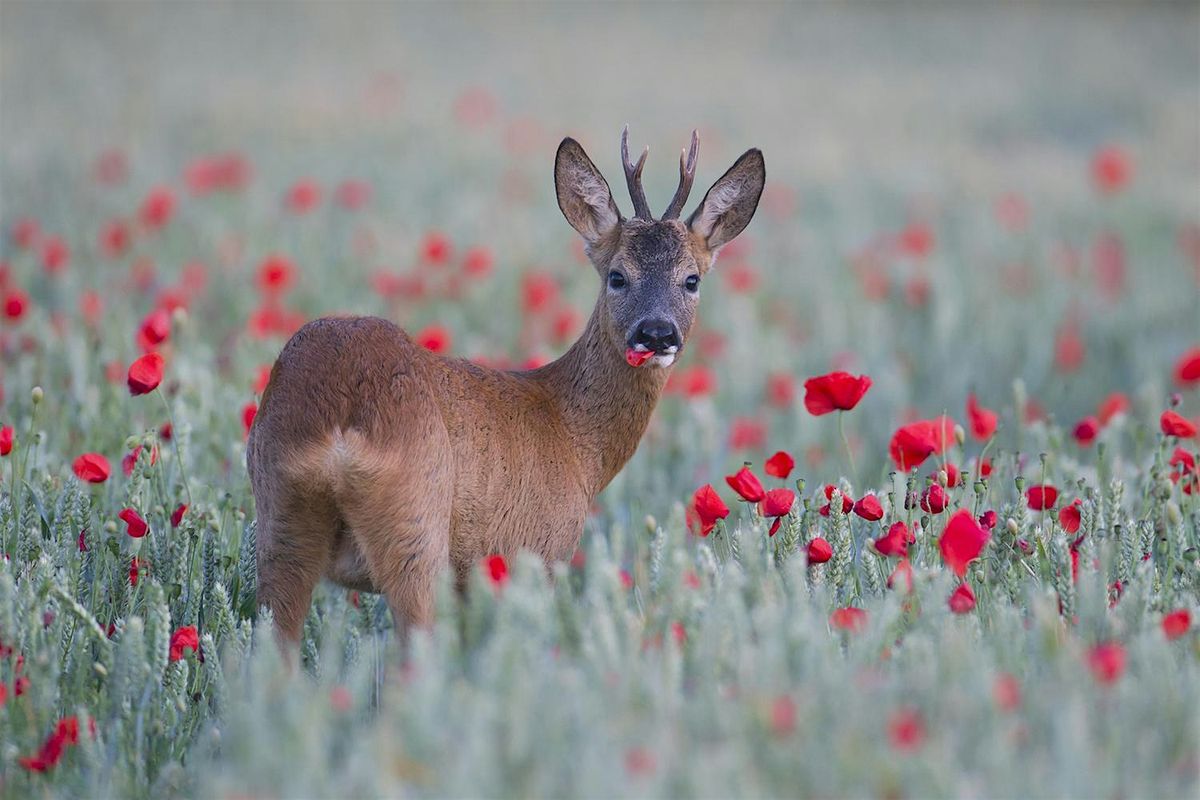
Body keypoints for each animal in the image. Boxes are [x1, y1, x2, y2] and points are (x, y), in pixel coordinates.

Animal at [247, 128, 763, 647]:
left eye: (691, 279)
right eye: (618, 276)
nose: (656, 333)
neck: (576, 440)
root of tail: (339, 420)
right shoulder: (538, 551)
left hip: (279, 520)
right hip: (415, 529)